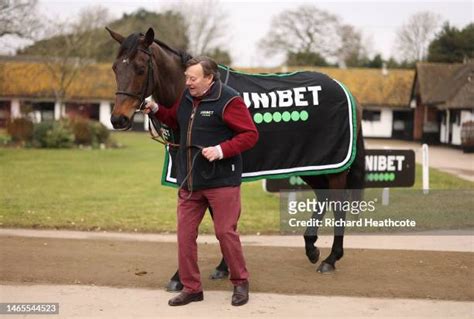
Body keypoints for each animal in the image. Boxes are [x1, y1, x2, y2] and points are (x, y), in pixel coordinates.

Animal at [107, 27, 366, 292]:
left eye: (140, 68)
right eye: (115, 67)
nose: (118, 118)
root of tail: (345, 90)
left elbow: (220, 219)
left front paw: (195, 273)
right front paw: (218, 268)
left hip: (334, 166)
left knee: (338, 204)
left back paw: (331, 258)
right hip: (312, 163)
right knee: (324, 197)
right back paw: (312, 246)